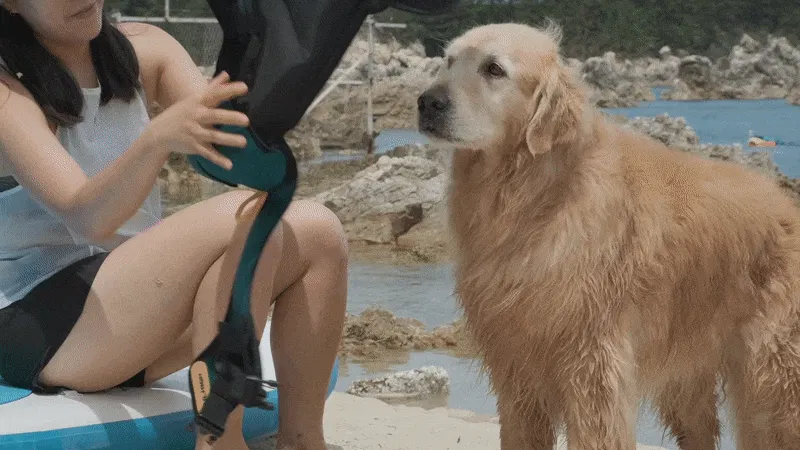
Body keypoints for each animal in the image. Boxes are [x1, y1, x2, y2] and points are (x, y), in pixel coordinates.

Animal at [417, 22, 800, 449]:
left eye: (494, 69)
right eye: (449, 61)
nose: (426, 102)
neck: (536, 194)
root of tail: (788, 206)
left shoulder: (592, 368)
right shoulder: (517, 372)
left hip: (772, 382)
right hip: (689, 383)